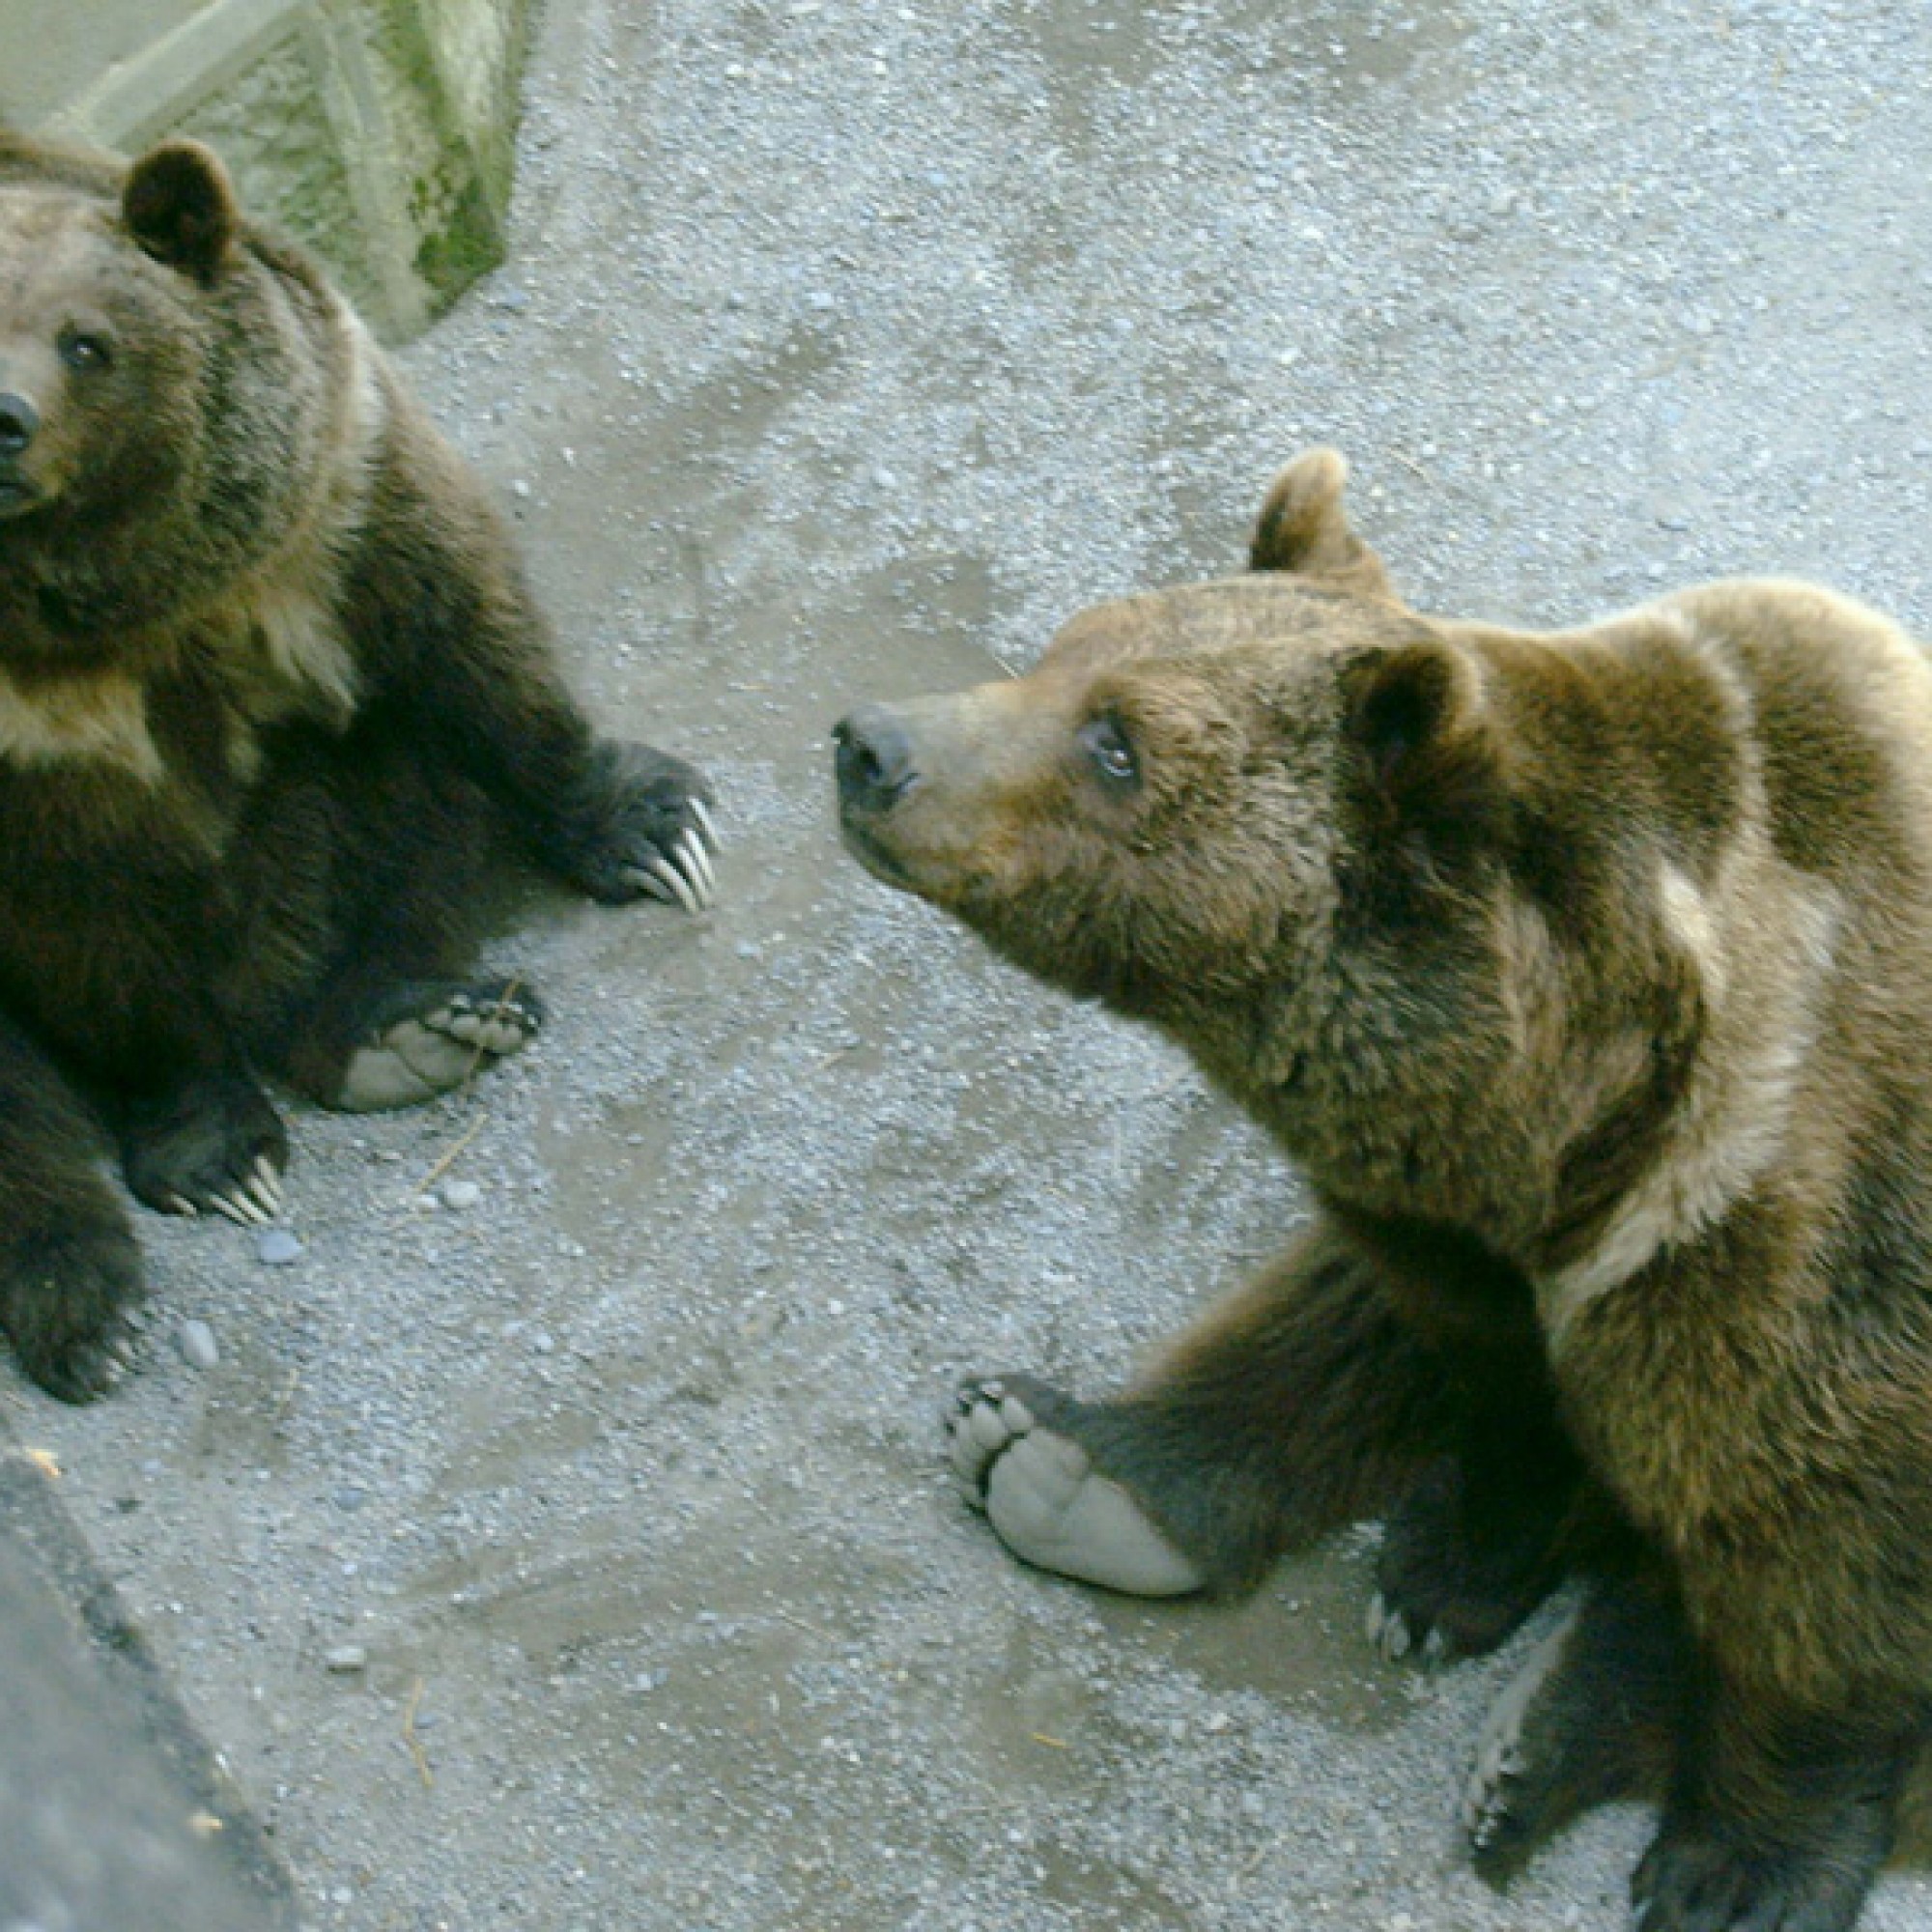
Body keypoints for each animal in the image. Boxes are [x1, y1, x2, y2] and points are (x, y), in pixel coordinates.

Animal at [0, 132, 719, 1406]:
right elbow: (90, 940)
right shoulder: (37, 762)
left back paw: (413, 1024)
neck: (114, 619)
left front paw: (653, 828)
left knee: (390, 822)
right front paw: (213, 1153)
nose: (3, 418)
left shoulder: (329, 501)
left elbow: (466, 637)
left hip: (325, 792)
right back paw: (89, 1306)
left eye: (86, 339)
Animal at [835, 444, 1932, 1924]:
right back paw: (1062, 1463)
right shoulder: (1446, 1214)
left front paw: (1736, 1863)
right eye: (1062, 650)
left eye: (1116, 742)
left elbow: (1816, 1572)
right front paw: (1436, 1568)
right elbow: (1454, 1356)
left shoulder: (1806, 1254)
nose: (870, 745)